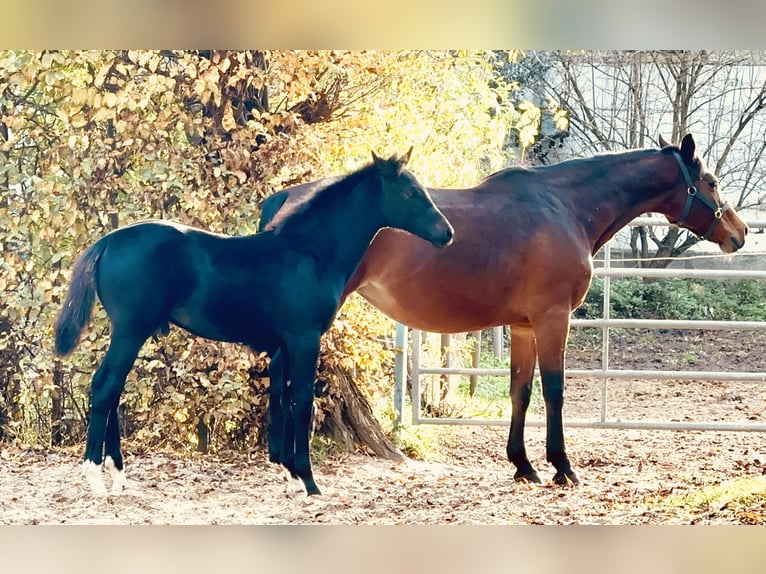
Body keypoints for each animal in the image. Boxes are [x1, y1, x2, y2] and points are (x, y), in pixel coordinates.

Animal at [54, 149, 454, 496]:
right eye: (409, 192)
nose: (446, 233)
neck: (309, 252)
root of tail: (107, 241)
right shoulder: (304, 338)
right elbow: (303, 401)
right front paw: (309, 482)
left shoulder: (284, 344)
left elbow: (283, 399)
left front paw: (291, 477)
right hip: (131, 331)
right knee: (105, 386)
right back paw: (97, 479)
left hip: (129, 333)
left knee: (113, 389)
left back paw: (119, 476)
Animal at [259, 134, 748, 486]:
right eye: (711, 182)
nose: (740, 233)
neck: (565, 208)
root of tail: (281, 201)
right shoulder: (553, 318)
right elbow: (554, 390)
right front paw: (562, 466)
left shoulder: (524, 326)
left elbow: (521, 392)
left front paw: (523, 465)